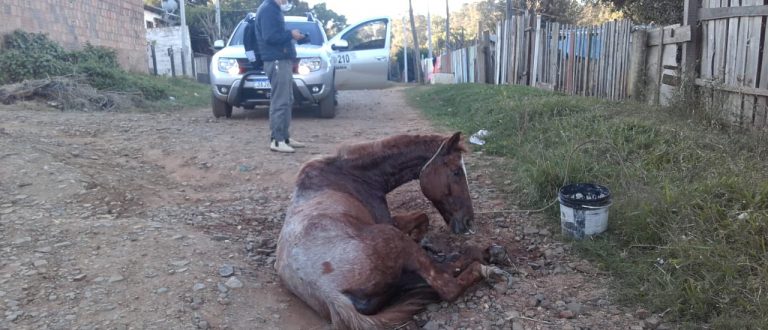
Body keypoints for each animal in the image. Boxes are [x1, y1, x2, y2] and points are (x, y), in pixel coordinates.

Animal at [274, 133, 504, 328]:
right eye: (456, 171)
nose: (468, 221)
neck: (349, 175)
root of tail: (328, 294)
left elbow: (422, 218)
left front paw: (422, 239)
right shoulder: (388, 224)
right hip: (393, 238)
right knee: (447, 282)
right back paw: (485, 262)